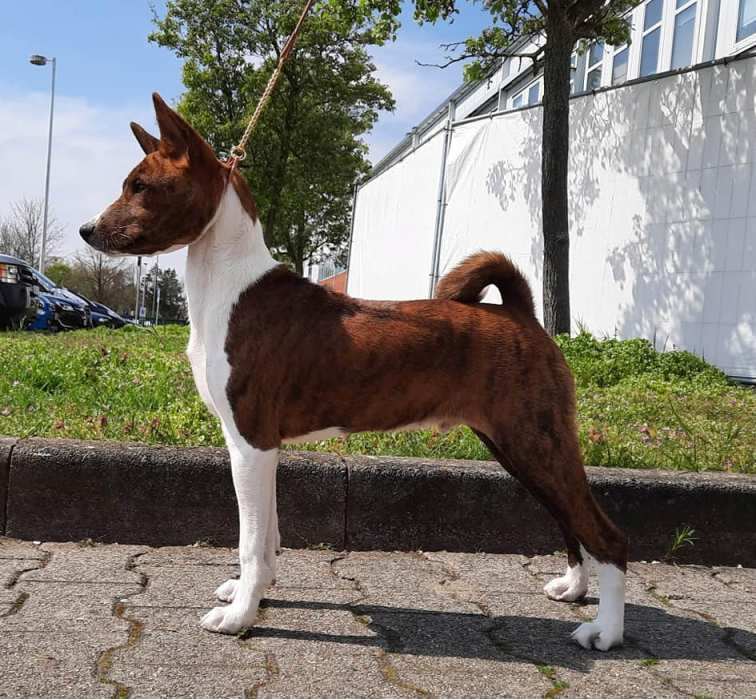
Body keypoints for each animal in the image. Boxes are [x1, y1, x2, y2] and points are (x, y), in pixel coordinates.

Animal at [80, 93, 628, 650]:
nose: (87, 230)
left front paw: (240, 616)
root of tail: (520, 313)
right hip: (517, 447)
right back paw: (573, 587)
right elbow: (267, 538)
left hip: (534, 442)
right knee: (569, 520)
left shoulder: (250, 444)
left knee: (606, 534)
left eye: (140, 186)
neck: (230, 290)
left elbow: (250, 541)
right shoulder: (260, 450)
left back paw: (605, 630)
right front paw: (252, 593)